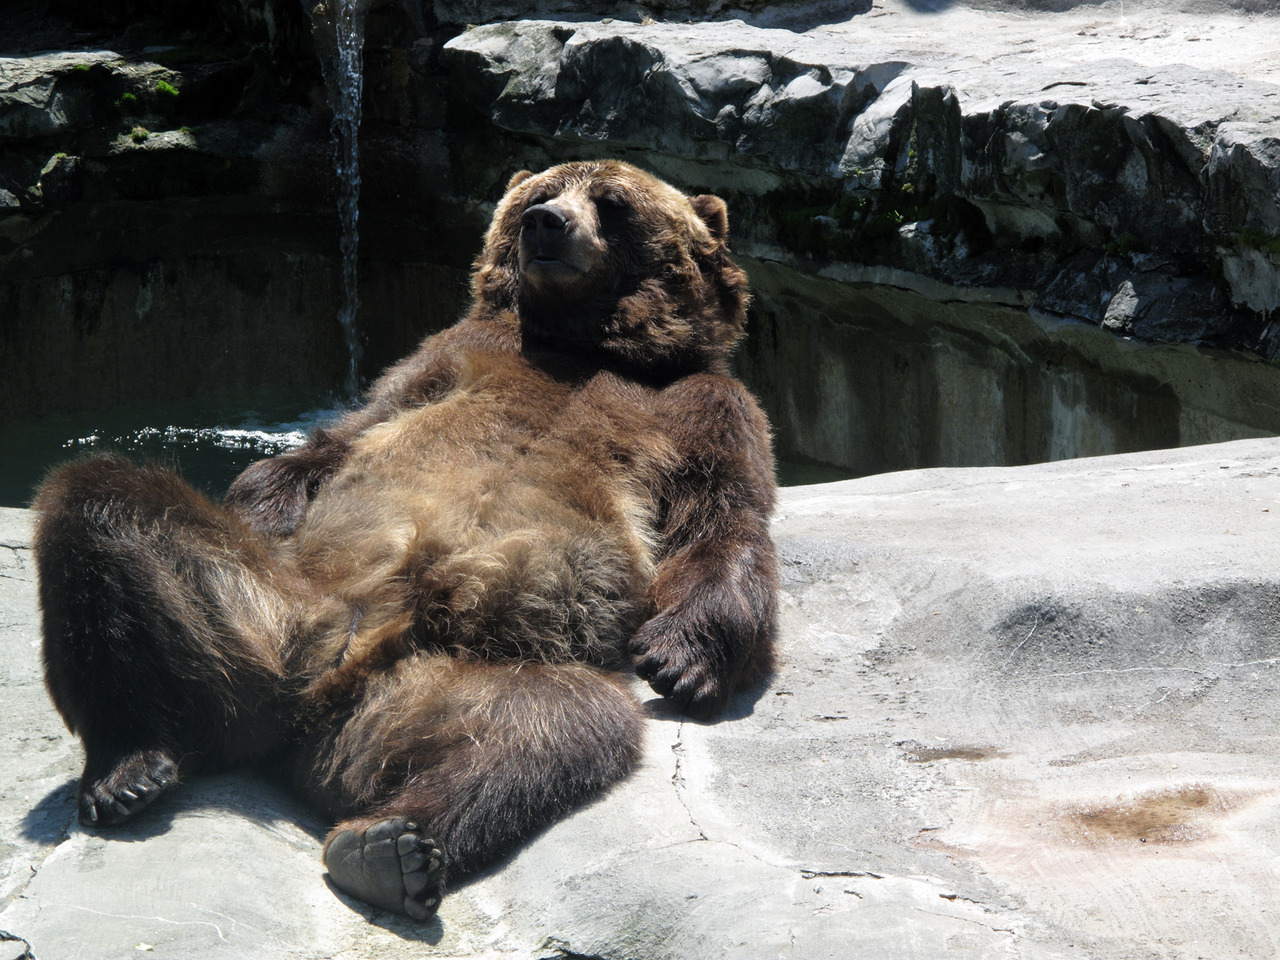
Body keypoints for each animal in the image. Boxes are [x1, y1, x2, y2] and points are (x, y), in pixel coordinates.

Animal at [32, 160, 778, 926]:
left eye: (611, 201)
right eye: (540, 194)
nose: (546, 223)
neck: (583, 344)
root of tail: (315, 692)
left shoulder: (704, 408)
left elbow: (721, 524)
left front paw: (683, 660)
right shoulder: (446, 359)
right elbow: (340, 439)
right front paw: (263, 501)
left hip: (436, 681)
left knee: (548, 725)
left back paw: (389, 848)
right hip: (257, 605)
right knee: (99, 507)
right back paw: (127, 762)